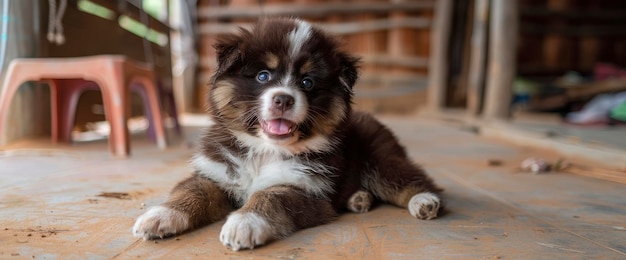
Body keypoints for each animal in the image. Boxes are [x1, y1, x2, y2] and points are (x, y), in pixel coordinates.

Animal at [133, 17, 442, 251]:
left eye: (307, 83)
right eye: (263, 76)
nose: (283, 99)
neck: (264, 149)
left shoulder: (304, 187)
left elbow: (271, 196)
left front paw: (244, 223)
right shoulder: (215, 172)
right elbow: (191, 191)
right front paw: (160, 216)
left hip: (381, 159)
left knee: (409, 178)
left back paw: (425, 201)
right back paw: (359, 199)